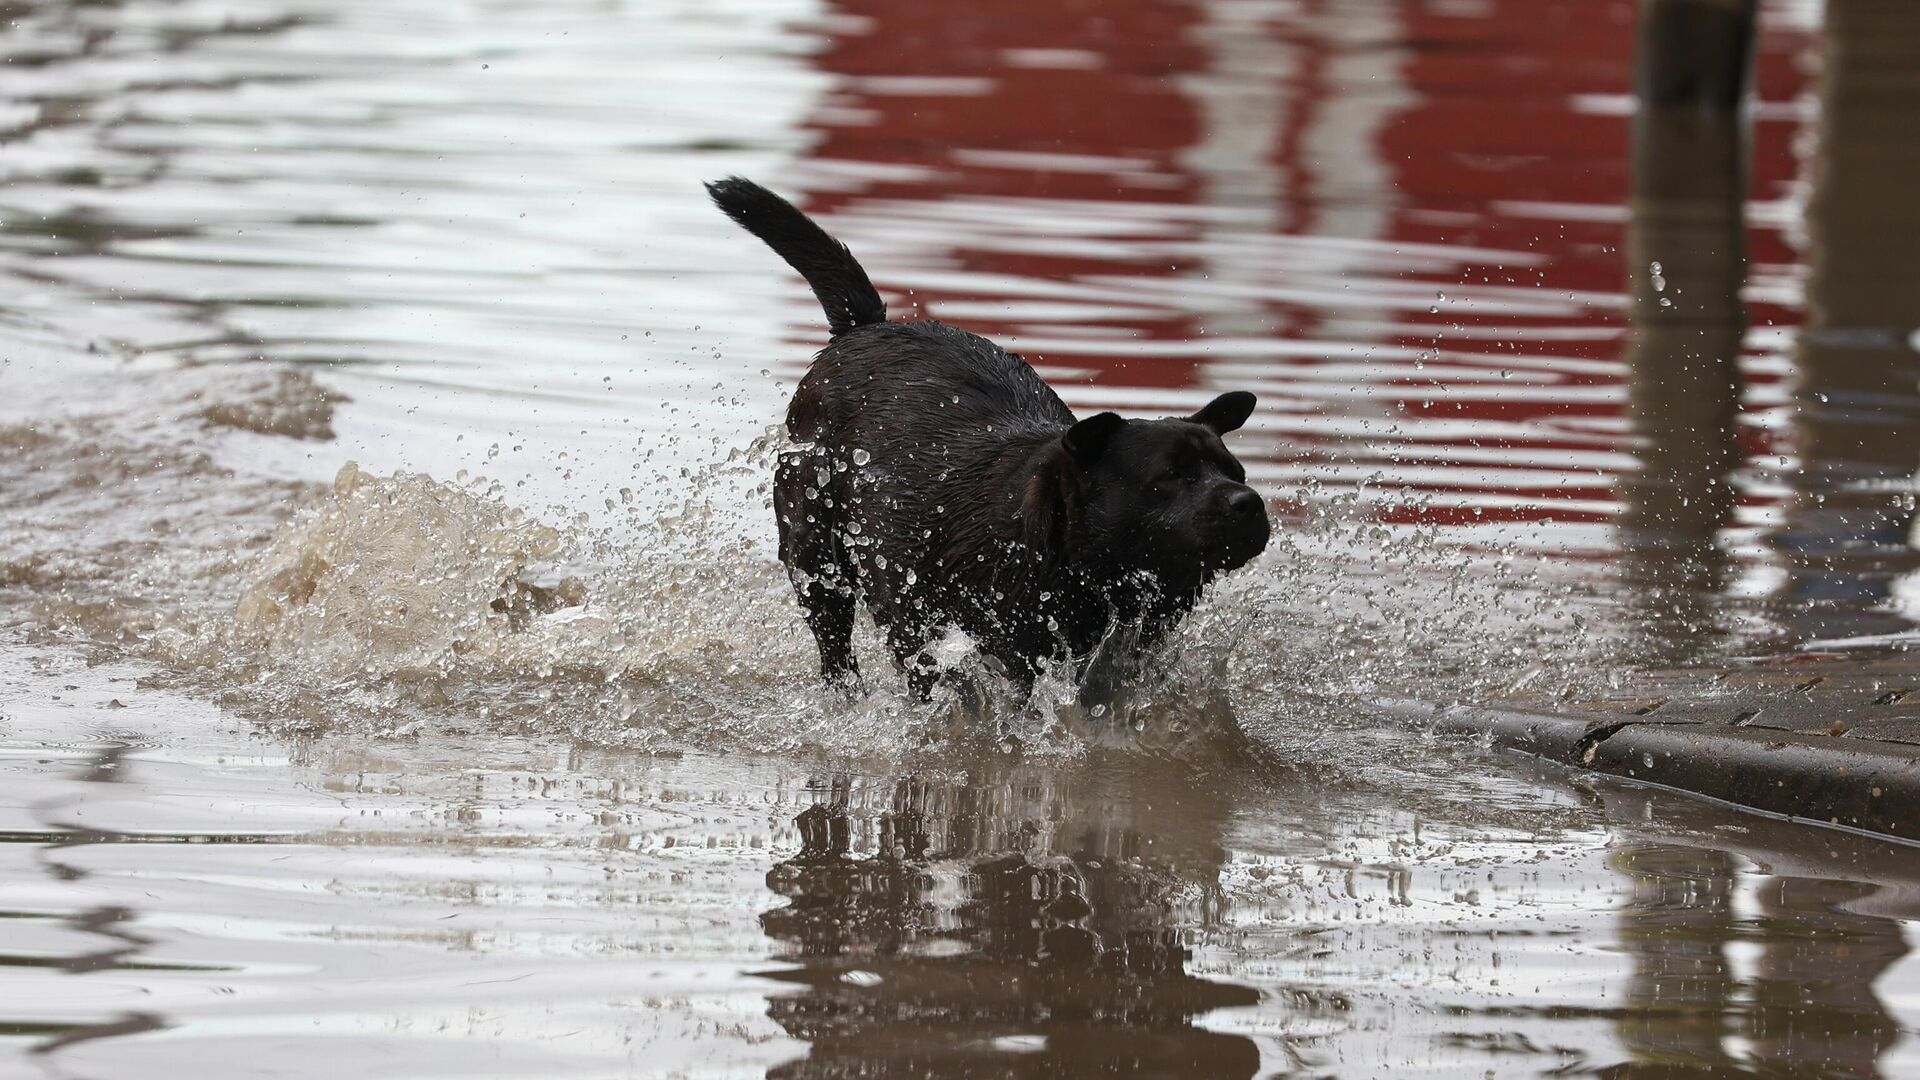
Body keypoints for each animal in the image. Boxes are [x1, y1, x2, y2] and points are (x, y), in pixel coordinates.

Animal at [710, 176, 1274, 699]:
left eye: (1235, 472)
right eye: (1171, 475)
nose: (1248, 501)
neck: (1057, 552)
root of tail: (863, 327)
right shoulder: (950, 629)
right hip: (815, 554)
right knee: (834, 644)